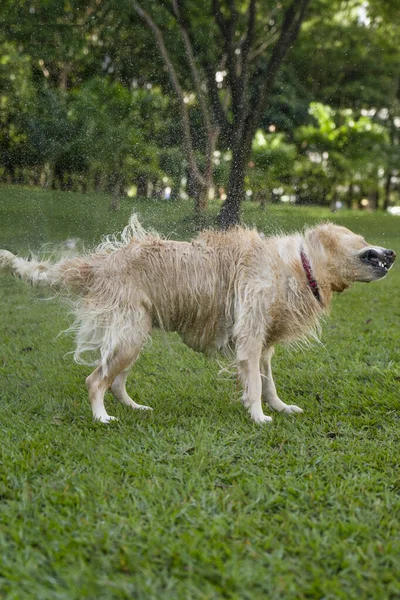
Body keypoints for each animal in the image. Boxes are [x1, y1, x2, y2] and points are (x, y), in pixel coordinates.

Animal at [0, 218, 394, 424]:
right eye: (361, 240)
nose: (391, 252)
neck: (301, 265)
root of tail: (102, 262)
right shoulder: (249, 339)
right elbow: (254, 385)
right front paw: (259, 418)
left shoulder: (264, 346)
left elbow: (269, 384)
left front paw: (281, 408)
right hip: (128, 336)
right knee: (95, 380)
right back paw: (102, 418)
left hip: (131, 337)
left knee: (115, 382)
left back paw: (135, 408)